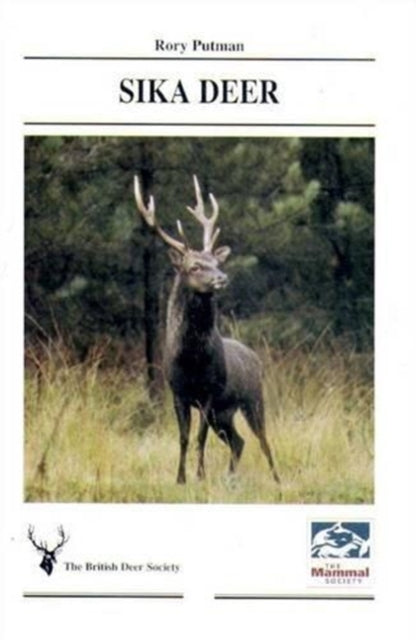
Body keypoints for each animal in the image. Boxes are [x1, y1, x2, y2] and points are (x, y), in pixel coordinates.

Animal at [134, 175, 280, 485]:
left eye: (216, 261)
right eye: (194, 266)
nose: (221, 277)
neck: (192, 359)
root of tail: (254, 357)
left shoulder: (209, 392)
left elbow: (199, 438)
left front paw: (200, 476)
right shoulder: (178, 392)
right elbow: (184, 438)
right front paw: (180, 478)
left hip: (252, 398)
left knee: (262, 440)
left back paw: (277, 479)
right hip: (223, 413)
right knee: (238, 441)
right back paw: (231, 478)